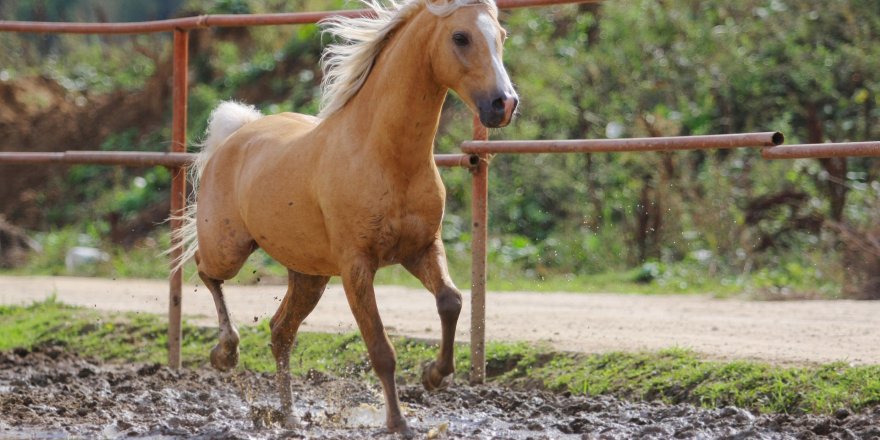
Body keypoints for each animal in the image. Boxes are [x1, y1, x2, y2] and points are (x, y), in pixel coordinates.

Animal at [172, 0, 516, 434]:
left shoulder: (421, 248)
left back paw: (289, 417)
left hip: (310, 275)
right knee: (206, 270)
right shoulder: (356, 267)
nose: (504, 104)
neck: (386, 157)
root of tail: (236, 135)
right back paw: (226, 353)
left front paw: (434, 376)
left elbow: (450, 301)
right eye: (460, 37)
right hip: (229, 248)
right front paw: (398, 423)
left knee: (280, 331)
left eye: (501, 36)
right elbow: (381, 348)